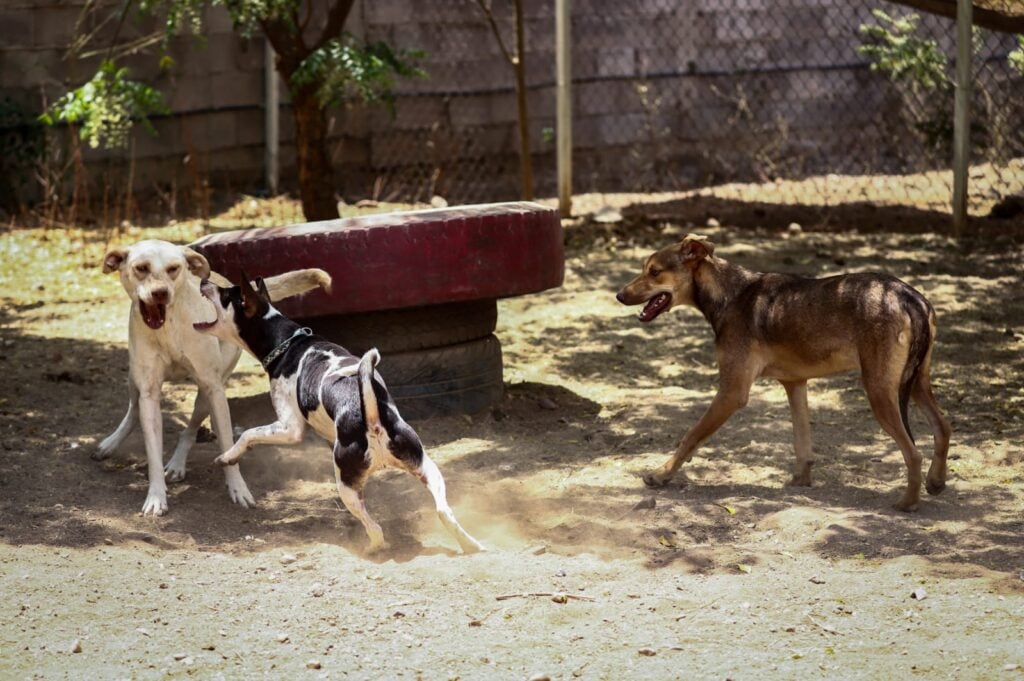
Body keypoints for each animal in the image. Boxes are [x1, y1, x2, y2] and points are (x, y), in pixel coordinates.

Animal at [94, 238, 327, 516]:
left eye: (173, 269)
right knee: (133, 410)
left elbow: (226, 442)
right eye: (141, 268)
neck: (169, 328)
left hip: (206, 393)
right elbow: (152, 449)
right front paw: (156, 496)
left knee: (190, 428)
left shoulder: (214, 389)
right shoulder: (149, 391)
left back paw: (177, 464)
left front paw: (237, 487)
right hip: (133, 379)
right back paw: (112, 443)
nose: (160, 293)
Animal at [194, 270, 483, 552]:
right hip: (426, 468)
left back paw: (372, 548)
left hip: (347, 486)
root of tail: (373, 421)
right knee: (443, 512)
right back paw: (472, 544)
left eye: (226, 294)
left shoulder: (290, 429)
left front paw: (227, 456)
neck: (288, 343)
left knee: (376, 529)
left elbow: (248, 434)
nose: (204, 280)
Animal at [614, 233, 950, 509]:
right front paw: (800, 482)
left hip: (880, 390)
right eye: (645, 268)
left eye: (654, 271)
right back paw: (935, 482)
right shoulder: (795, 384)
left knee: (914, 452)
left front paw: (661, 475)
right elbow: (802, 444)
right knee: (943, 427)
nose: (618, 295)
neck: (730, 294)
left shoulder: (732, 392)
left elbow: (690, 437)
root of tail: (908, 295)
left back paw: (907, 503)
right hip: (915, 384)